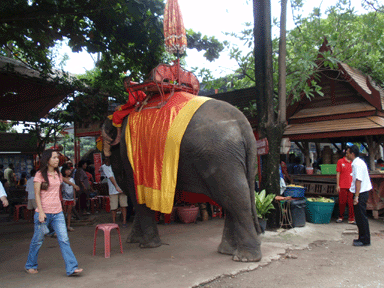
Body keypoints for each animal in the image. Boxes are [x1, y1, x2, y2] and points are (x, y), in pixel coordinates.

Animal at [102, 95, 262, 262]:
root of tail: (244, 125)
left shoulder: (130, 155)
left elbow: (137, 195)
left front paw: (146, 245)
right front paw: (134, 240)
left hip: (220, 156)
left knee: (235, 196)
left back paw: (245, 257)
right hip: (233, 158)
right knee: (230, 196)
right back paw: (227, 251)